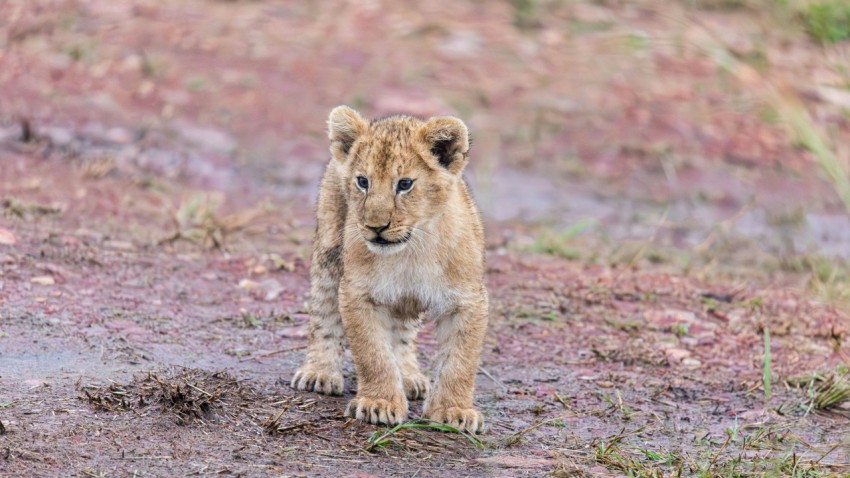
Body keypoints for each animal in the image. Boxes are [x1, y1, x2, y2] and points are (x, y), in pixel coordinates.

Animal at [290, 105, 489, 434]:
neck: (411, 252)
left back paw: (408, 377)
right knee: (323, 312)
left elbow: (460, 361)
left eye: (405, 184)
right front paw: (379, 403)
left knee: (403, 335)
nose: (375, 227)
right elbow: (373, 354)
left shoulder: (468, 300)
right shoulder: (357, 292)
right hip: (329, 252)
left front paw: (454, 410)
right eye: (363, 181)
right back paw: (320, 372)